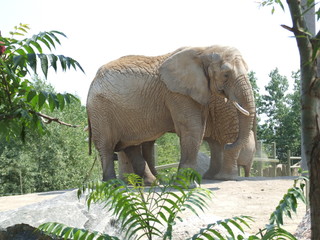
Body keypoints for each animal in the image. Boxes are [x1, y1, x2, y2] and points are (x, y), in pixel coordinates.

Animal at [86, 45, 256, 181]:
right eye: (226, 74)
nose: (229, 145)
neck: (204, 50)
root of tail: (92, 82)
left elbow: (198, 129)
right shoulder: (176, 93)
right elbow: (192, 128)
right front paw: (187, 184)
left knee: (130, 144)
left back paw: (152, 182)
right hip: (100, 110)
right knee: (106, 146)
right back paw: (113, 184)